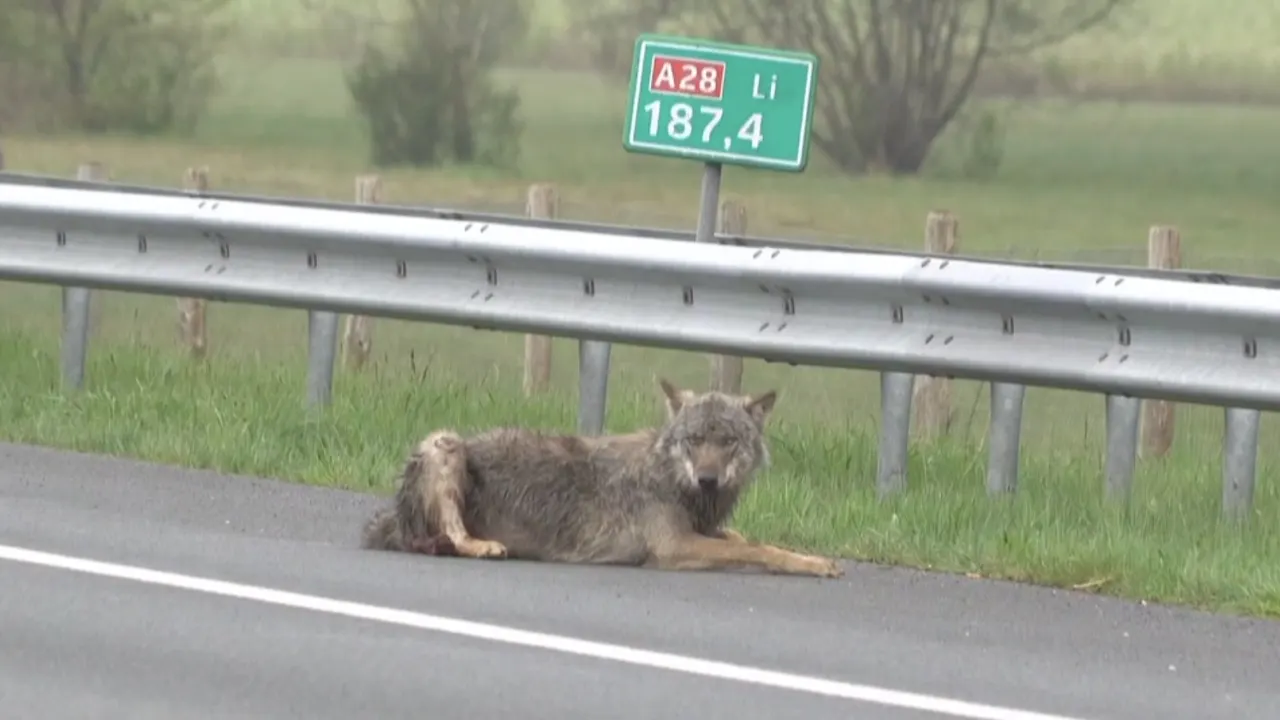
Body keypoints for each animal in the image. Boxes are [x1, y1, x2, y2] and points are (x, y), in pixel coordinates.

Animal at [360, 378, 843, 578]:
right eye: (694, 440)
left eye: (727, 441)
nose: (708, 479)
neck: (673, 478)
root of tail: (387, 522)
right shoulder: (675, 547)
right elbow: (758, 549)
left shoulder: (705, 530)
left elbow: (752, 540)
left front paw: (815, 560)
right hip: (446, 443)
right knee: (454, 535)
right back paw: (485, 547)